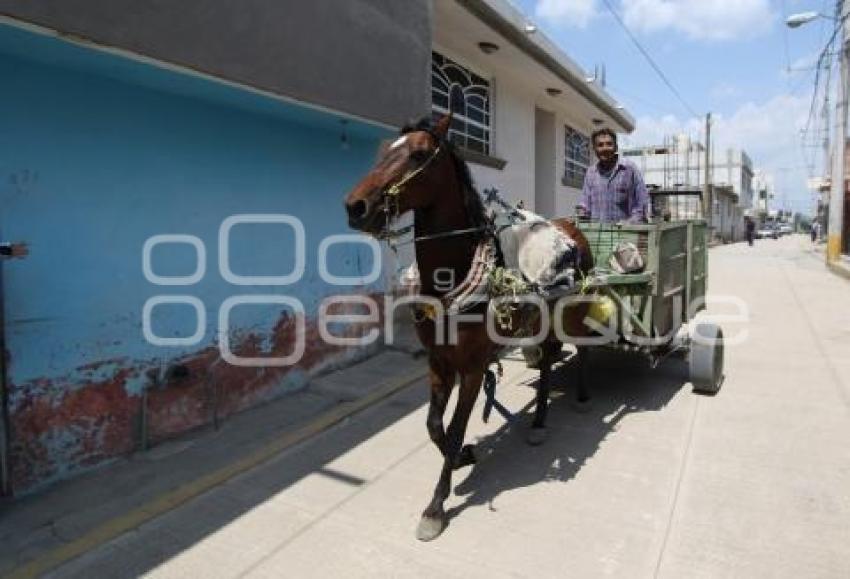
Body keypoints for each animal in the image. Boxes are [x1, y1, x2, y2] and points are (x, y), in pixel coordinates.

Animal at [342, 115, 588, 540]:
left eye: (419, 154)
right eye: (385, 149)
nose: (356, 206)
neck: (453, 276)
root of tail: (571, 229)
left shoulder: (472, 369)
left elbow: (456, 428)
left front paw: (435, 507)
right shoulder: (439, 363)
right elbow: (433, 425)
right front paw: (461, 458)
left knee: (562, 357)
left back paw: (553, 413)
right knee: (545, 361)